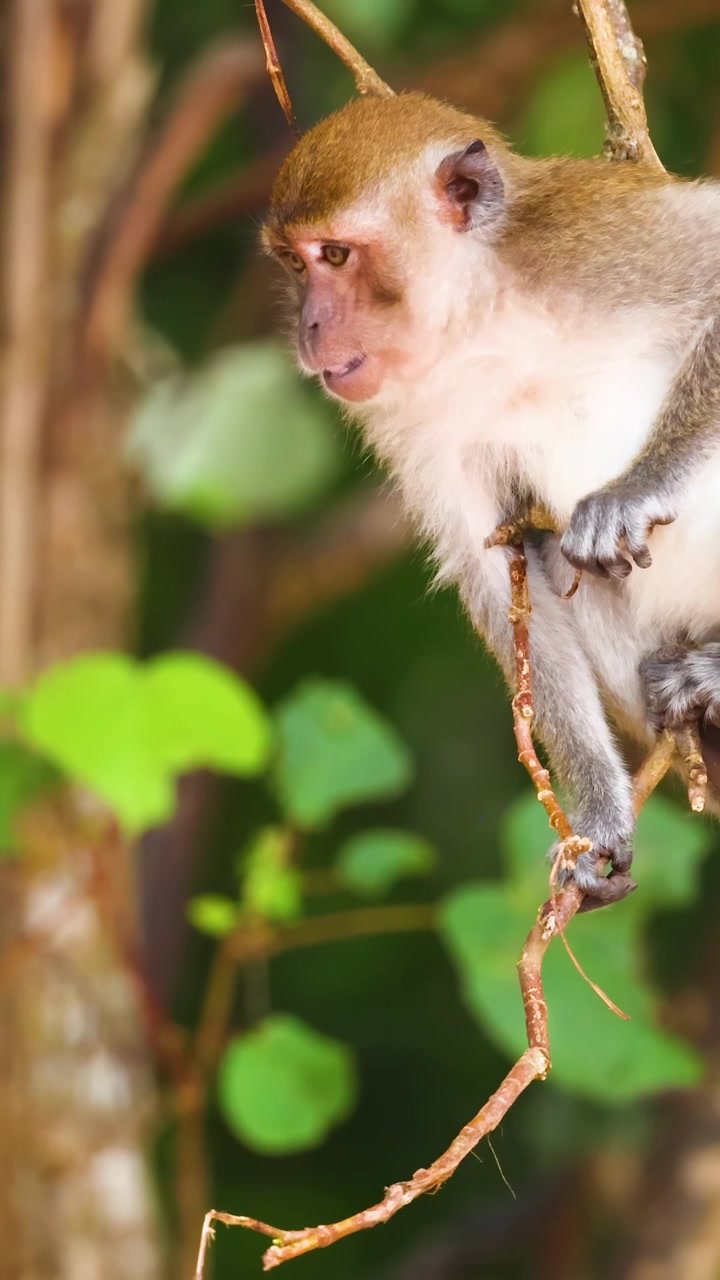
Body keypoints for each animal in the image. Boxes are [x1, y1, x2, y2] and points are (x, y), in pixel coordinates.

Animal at [262, 91, 720, 907]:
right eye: (294, 262)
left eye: (336, 256)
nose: (308, 326)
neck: (482, 317)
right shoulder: (411, 417)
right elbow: (494, 566)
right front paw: (598, 818)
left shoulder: (600, 240)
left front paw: (636, 489)